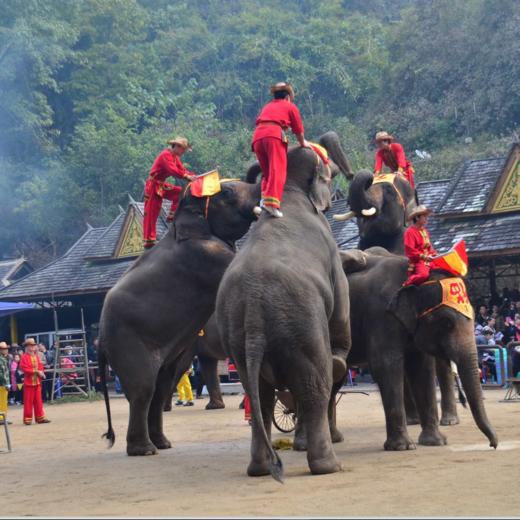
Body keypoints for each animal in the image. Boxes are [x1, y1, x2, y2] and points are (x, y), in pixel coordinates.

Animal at [97, 179, 260, 456]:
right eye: (227, 192)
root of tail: (97, 336)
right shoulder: (205, 255)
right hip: (126, 341)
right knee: (143, 389)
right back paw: (145, 450)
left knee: (160, 385)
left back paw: (162, 444)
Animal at [215, 132, 354, 482]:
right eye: (329, 170)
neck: (287, 190)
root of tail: (253, 310)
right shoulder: (332, 253)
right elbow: (341, 307)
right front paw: (340, 357)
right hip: (302, 325)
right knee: (314, 385)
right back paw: (329, 466)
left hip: (236, 336)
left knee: (258, 395)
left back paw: (259, 469)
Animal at [340, 248, 498, 450]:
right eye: (447, 322)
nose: (493, 445)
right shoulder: (380, 316)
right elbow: (387, 365)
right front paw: (402, 447)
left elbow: (422, 367)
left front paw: (436, 442)